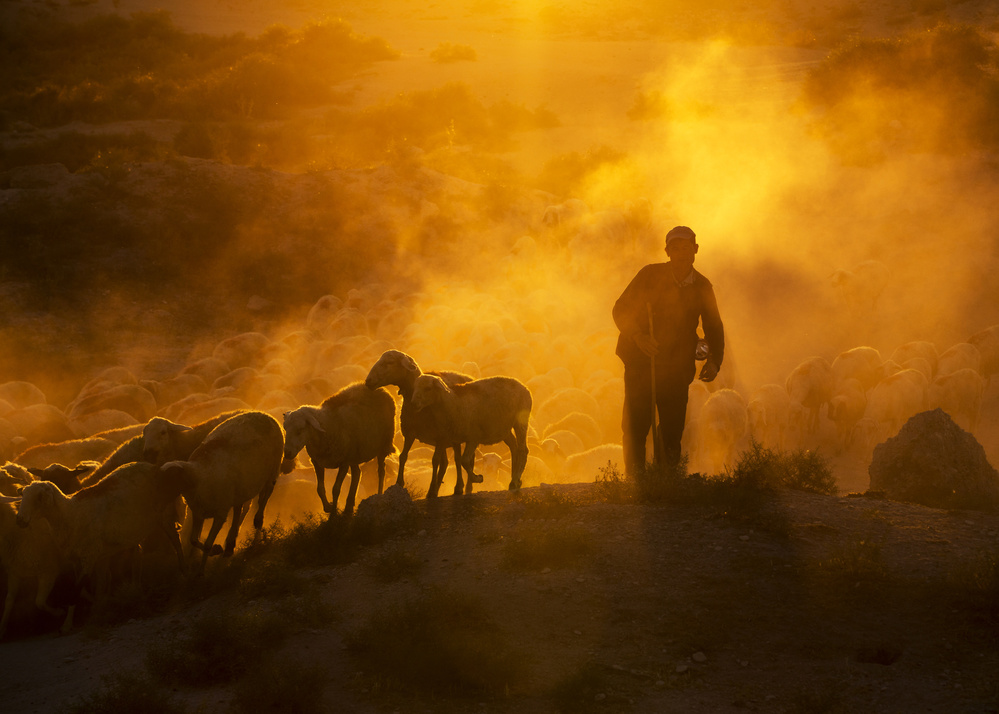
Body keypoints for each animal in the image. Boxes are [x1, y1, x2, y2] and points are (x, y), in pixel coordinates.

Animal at [160, 408, 286, 572]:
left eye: (169, 479)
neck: (198, 476)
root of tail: (263, 413)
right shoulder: (199, 512)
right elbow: (193, 540)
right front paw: (217, 550)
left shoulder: (220, 514)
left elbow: (207, 544)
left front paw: (202, 570)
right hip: (241, 487)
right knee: (240, 509)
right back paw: (230, 544)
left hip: (273, 469)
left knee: (266, 494)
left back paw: (258, 521)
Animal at [280, 382, 396, 516]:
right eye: (285, 429)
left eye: (300, 430)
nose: (287, 453)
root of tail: (381, 390)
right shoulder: (317, 462)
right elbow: (320, 488)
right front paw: (328, 507)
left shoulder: (344, 463)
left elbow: (336, 489)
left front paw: (333, 514)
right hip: (354, 453)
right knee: (357, 473)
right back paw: (349, 506)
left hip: (383, 446)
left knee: (381, 472)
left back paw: (379, 494)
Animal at [366, 348, 474, 492]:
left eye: (390, 362)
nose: (368, 381)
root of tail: (467, 377)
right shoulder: (410, 432)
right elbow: (403, 456)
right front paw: (399, 482)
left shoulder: (440, 436)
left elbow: (435, 460)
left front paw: (432, 487)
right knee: (447, 461)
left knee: (460, 459)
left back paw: (462, 487)